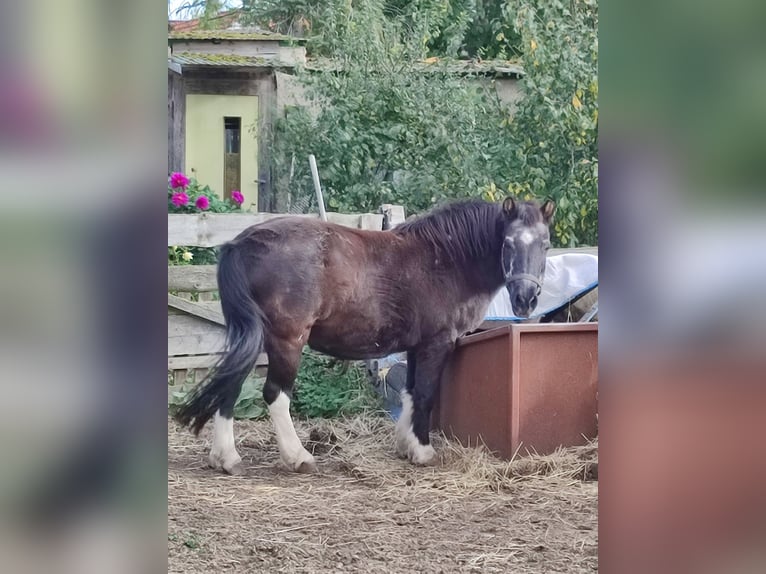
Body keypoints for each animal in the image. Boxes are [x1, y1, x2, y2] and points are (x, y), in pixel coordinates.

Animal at [177, 198, 556, 476]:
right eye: (508, 242)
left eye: (545, 243)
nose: (526, 299)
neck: (445, 259)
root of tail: (240, 243)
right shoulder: (437, 343)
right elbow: (426, 395)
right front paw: (423, 450)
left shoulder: (417, 347)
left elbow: (410, 392)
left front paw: (406, 445)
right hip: (287, 341)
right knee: (275, 395)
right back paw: (298, 456)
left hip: (254, 339)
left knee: (230, 387)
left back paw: (225, 458)